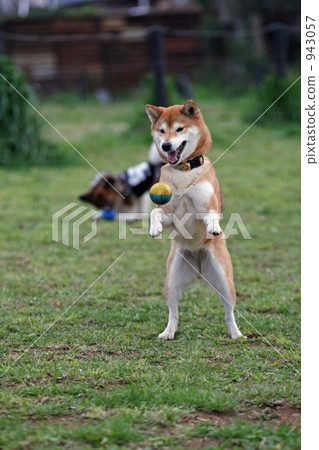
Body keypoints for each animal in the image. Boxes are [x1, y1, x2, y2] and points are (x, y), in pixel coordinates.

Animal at [146, 101, 244, 342]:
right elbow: (155, 213)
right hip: (171, 281)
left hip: (225, 282)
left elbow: (211, 215)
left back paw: (236, 334)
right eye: (162, 131)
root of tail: (198, 260)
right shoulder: (168, 214)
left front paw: (214, 227)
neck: (183, 172)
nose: (166, 145)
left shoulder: (206, 206)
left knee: (229, 311)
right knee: (173, 311)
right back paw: (168, 332)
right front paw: (154, 229)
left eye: (179, 129)